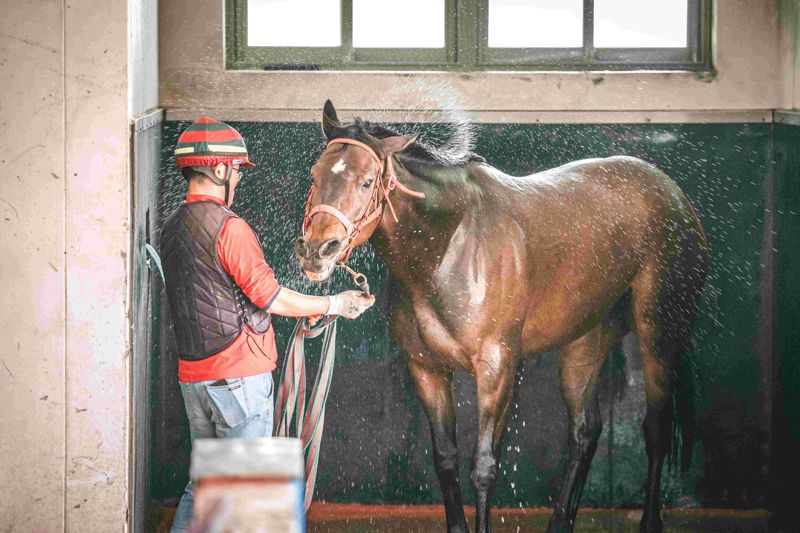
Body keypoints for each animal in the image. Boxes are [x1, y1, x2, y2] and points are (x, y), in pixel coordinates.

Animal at [296, 101, 708, 532]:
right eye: (315, 175)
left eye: (366, 182)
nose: (317, 251)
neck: (448, 245)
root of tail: (671, 191)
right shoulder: (426, 369)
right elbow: (445, 459)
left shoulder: (497, 368)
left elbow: (484, 467)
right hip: (584, 344)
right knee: (585, 432)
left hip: (659, 332)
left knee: (656, 427)